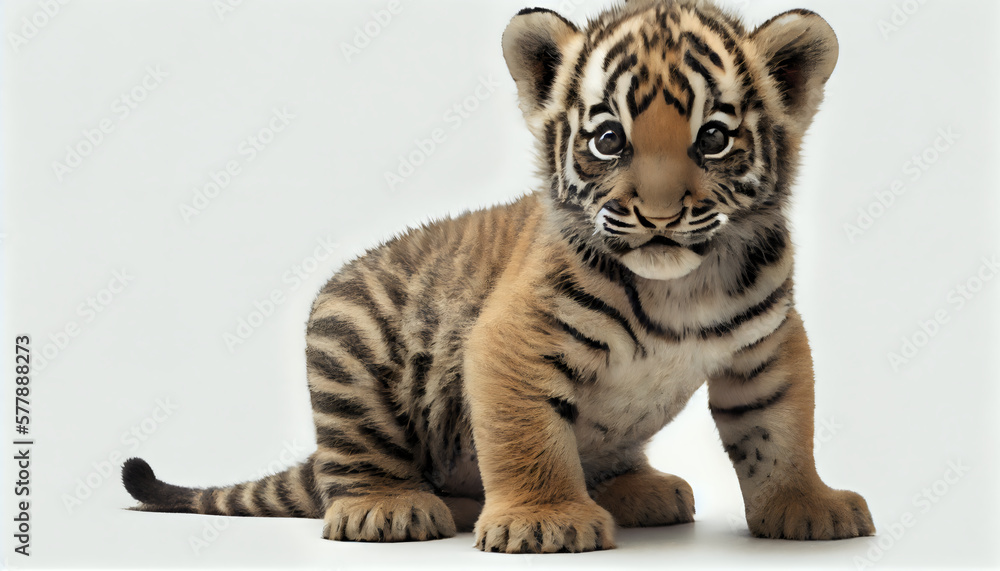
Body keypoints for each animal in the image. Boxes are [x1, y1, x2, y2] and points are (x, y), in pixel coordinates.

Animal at [122, 0, 875, 554]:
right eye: (609, 140)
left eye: (712, 139)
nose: (659, 217)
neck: (678, 284)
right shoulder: (515, 342)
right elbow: (529, 437)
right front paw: (545, 521)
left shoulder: (768, 345)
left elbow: (779, 431)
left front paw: (808, 507)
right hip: (352, 358)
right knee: (357, 466)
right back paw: (393, 509)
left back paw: (639, 491)